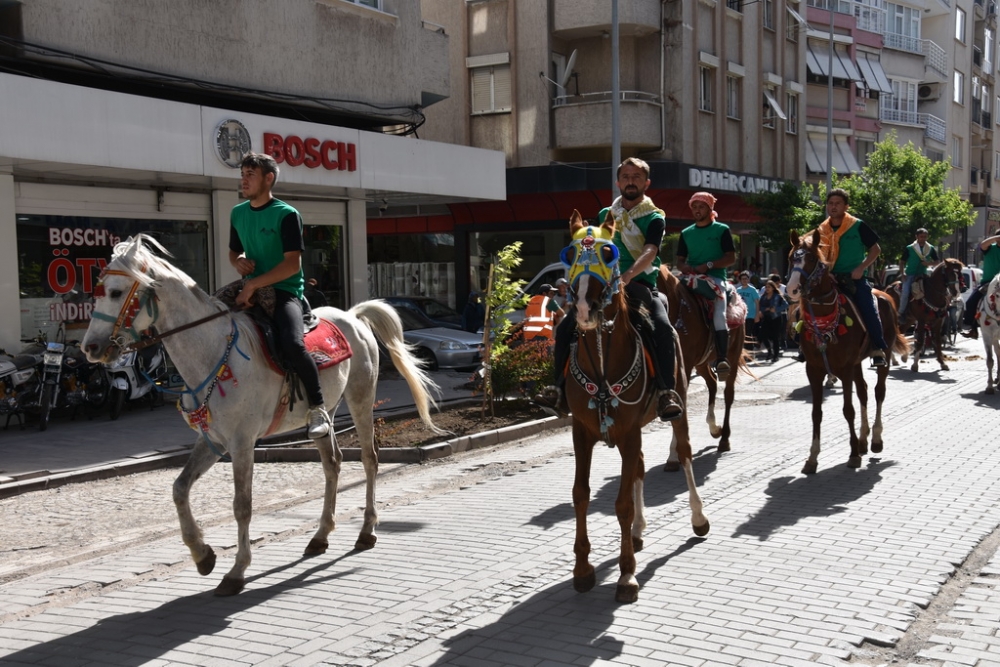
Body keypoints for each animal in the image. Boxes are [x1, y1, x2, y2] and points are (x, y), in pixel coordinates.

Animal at [83, 234, 446, 596]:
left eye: (116, 292)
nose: (90, 348)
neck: (214, 353)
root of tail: (353, 315)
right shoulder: (213, 440)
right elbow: (179, 488)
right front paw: (202, 554)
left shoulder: (242, 443)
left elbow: (242, 504)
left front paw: (236, 571)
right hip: (326, 412)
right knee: (333, 463)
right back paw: (320, 536)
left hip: (361, 398)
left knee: (370, 459)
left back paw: (367, 530)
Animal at [564, 211, 712, 608]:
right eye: (570, 253)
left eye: (608, 252)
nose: (583, 307)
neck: (603, 364)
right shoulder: (582, 433)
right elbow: (581, 495)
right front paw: (582, 570)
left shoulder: (629, 433)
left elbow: (621, 504)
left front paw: (627, 575)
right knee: (641, 468)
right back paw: (639, 531)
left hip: (677, 404)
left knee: (686, 453)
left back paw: (698, 518)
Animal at [656, 266, 752, 470]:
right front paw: (674, 455)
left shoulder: (683, 367)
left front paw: (674, 455)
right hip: (701, 363)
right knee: (712, 383)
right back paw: (714, 428)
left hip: (730, 358)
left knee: (728, 394)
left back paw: (724, 438)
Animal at [784, 230, 912, 474]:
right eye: (791, 257)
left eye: (811, 258)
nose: (791, 289)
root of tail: (885, 293)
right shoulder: (814, 370)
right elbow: (816, 413)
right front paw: (812, 458)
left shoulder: (844, 369)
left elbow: (848, 410)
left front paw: (853, 455)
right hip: (856, 363)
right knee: (863, 391)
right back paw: (863, 440)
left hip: (882, 355)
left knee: (879, 392)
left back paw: (875, 440)